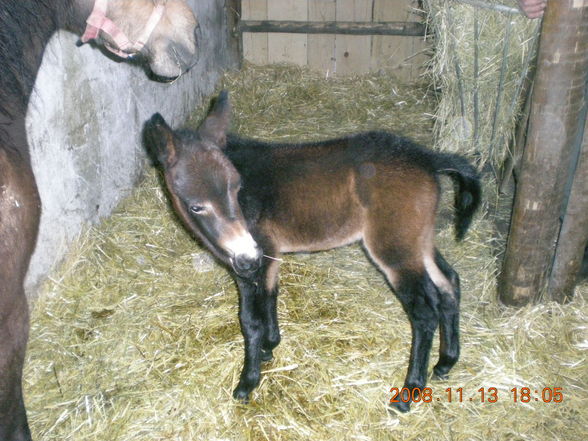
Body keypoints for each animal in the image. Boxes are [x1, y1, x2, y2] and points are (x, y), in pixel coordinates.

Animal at [145, 90, 480, 412]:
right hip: (417, 240)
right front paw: (269, 347)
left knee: (424, 312)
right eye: (196, 205)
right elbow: (271, 296)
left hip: (393, 249)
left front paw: (247, 382)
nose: (247, 254)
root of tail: (426, 157)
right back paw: (445, 363)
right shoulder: (268, 255)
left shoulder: (253, 260)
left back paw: (408, 394)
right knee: (449, 281)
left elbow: (250, 320)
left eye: (236, 188)